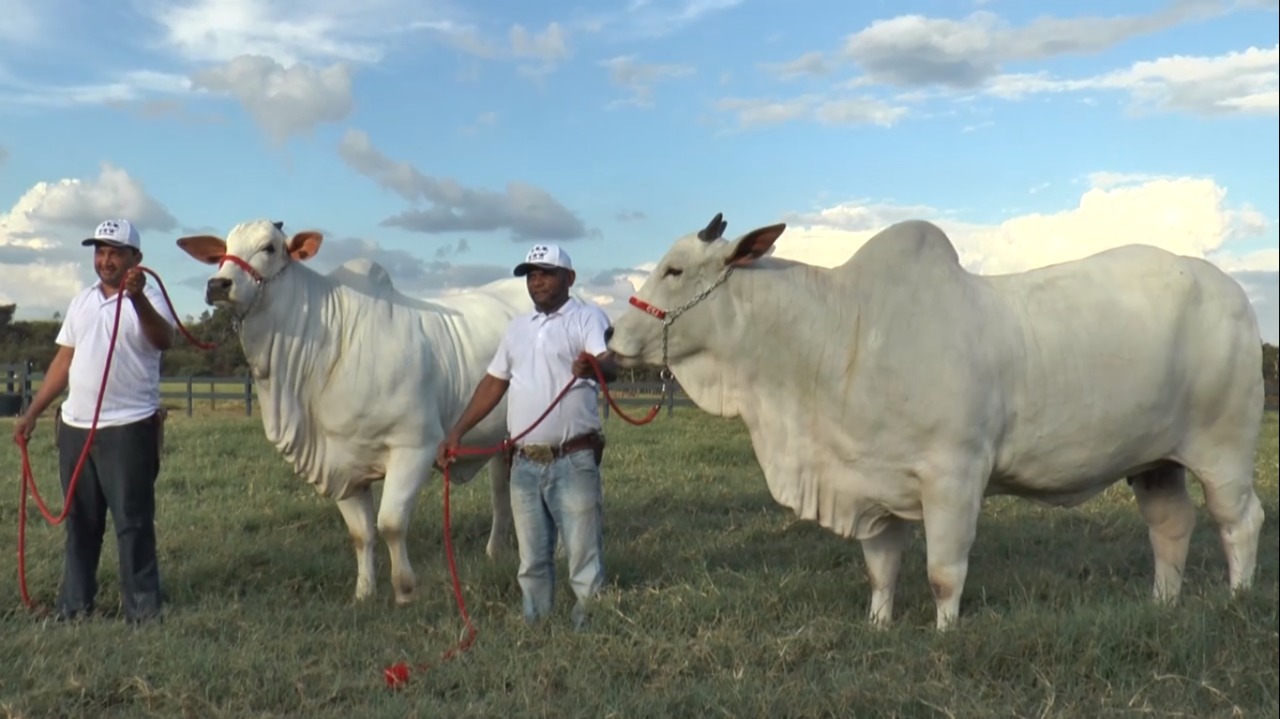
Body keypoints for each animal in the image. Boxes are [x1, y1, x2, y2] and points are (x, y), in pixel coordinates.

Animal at [176, 221, 529, 601]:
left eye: (269, 247)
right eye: (225, 248)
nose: (218, 285)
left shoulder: (414, 446)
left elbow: (391, 524)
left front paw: (405, 591)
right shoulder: (339, 463)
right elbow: (362, 534)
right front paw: (364, 592)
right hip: (502, 440)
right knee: (502, 495)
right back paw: (495, 552)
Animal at [609, 211, 1269, 626]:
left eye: (674, 270)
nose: (613, 335)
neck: (839, 334)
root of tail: (1233, 291)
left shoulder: (954, 475)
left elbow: (944, 572)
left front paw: (946, 633)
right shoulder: (870, 482)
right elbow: (882, 571)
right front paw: (878, 626)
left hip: (1224, 453)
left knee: (1240, 521)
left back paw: (1238, 599)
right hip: (1155, 461)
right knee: (1171, 526)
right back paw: (1163, 604)